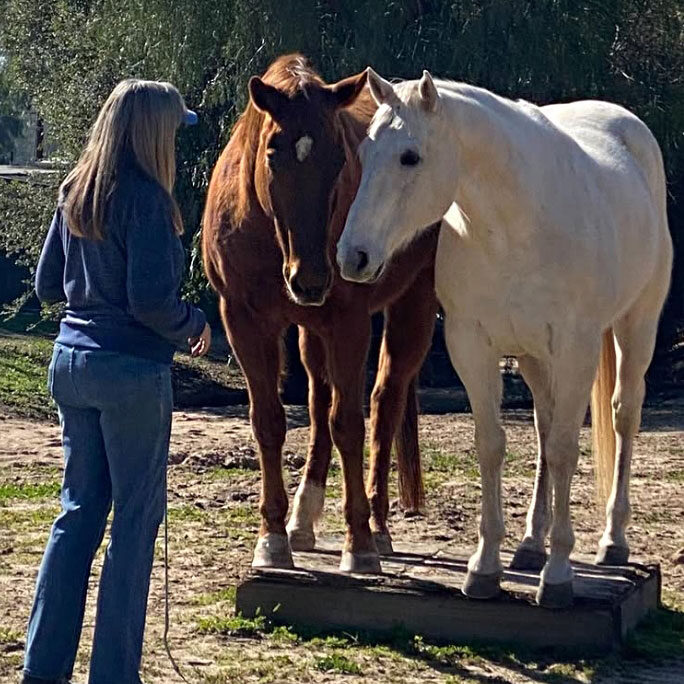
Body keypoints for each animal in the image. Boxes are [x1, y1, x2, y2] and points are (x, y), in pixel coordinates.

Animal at [202, 55, 439, 573]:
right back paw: (302, 518)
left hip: (411, 305)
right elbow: (270, 421)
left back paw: (378, 525)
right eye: (273, 153)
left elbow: (348, 422)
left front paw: (359, 542)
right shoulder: (244, 321)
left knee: (384, 402)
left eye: (339, 159)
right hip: (311, 330)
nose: (309, 278)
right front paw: (273, 537)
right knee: (318, 402)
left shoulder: (348, 323)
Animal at [337, 68, 672, 607]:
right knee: (544, 426)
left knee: (622, 416)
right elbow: (494, 445)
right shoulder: (472, 346)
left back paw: (612, 541)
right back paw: (531, 545)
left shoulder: (575, 348)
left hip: (635, 328)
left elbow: (565, 450)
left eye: (410, 156)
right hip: (536, 358)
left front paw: (558, 574)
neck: (516, 226)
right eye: (365, 153)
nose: (353, 257)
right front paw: (486, 567)